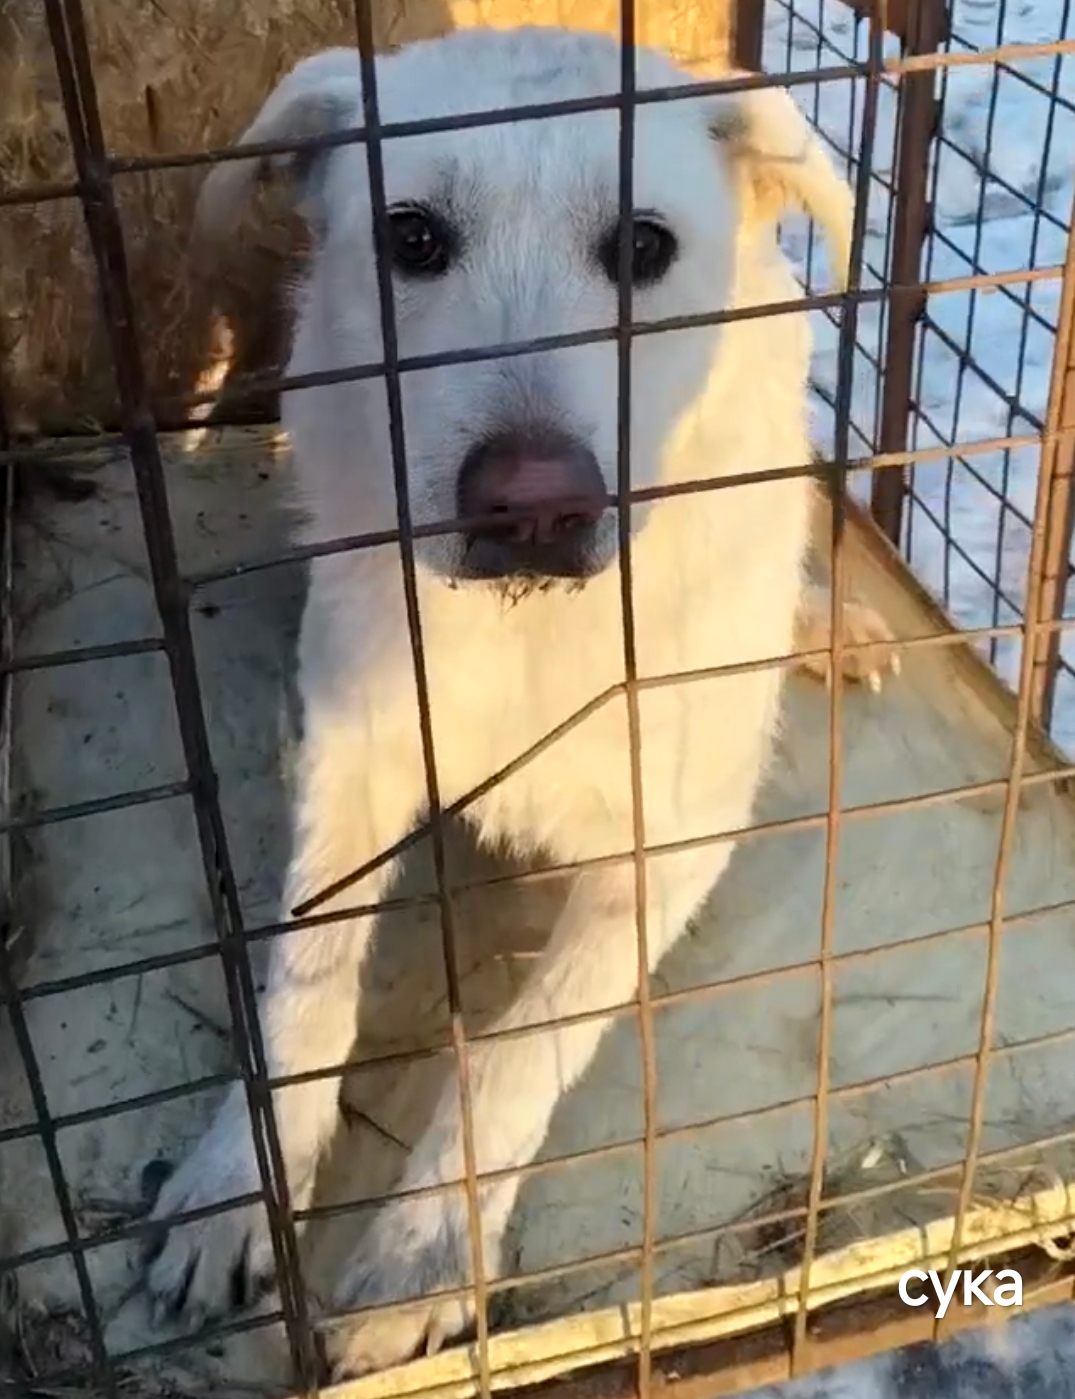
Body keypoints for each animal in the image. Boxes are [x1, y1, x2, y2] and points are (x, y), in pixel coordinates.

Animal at [143, 27, 898, 1378]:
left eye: (643, 247)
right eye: (413, 237)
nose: (534, 504)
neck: (533, 629)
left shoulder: (665, 846)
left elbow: (512, 1052)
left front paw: (420, 1254)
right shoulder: (350, 764)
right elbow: (305, 981)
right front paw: (239, 1178)